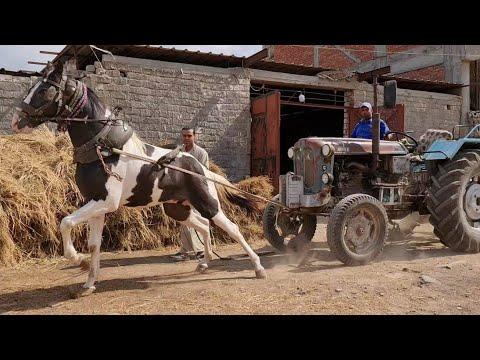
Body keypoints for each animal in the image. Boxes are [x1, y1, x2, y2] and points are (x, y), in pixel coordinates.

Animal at [10, 61, 266, 292]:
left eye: (44, 90)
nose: (15, 122)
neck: (104, 149)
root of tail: (200, 167)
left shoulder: (106, 202)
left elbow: (66, 222)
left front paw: (77, 259)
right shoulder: (95, 204)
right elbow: (94, 245)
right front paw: (89, 283)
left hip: (208, 204)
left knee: (232, 228)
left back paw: (257, 267)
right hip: (177, 208)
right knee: (203, 225)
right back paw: (204, 263)